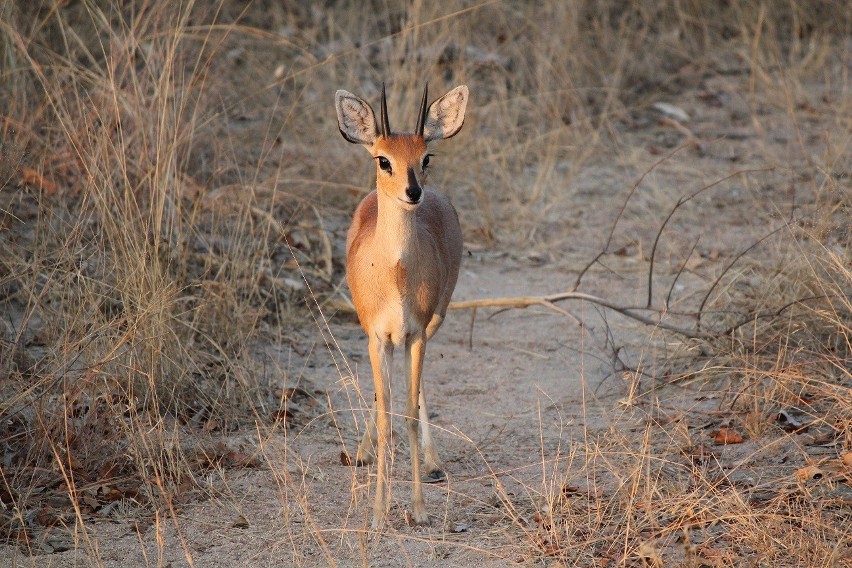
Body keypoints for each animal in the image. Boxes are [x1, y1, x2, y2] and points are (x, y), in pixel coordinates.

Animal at [334, 83, 466, 528]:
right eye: (383, 159)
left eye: (426, 157)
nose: (413, 192)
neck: (394, 275)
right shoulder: (377, 336)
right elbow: (387, 415)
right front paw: (377, 514)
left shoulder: (415, 335)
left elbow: (406, 412)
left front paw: (420, 510)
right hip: (385, 342)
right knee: (382, 401)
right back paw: (362, 451)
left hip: (429, 327)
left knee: (415, 391)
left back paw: (433, 464)